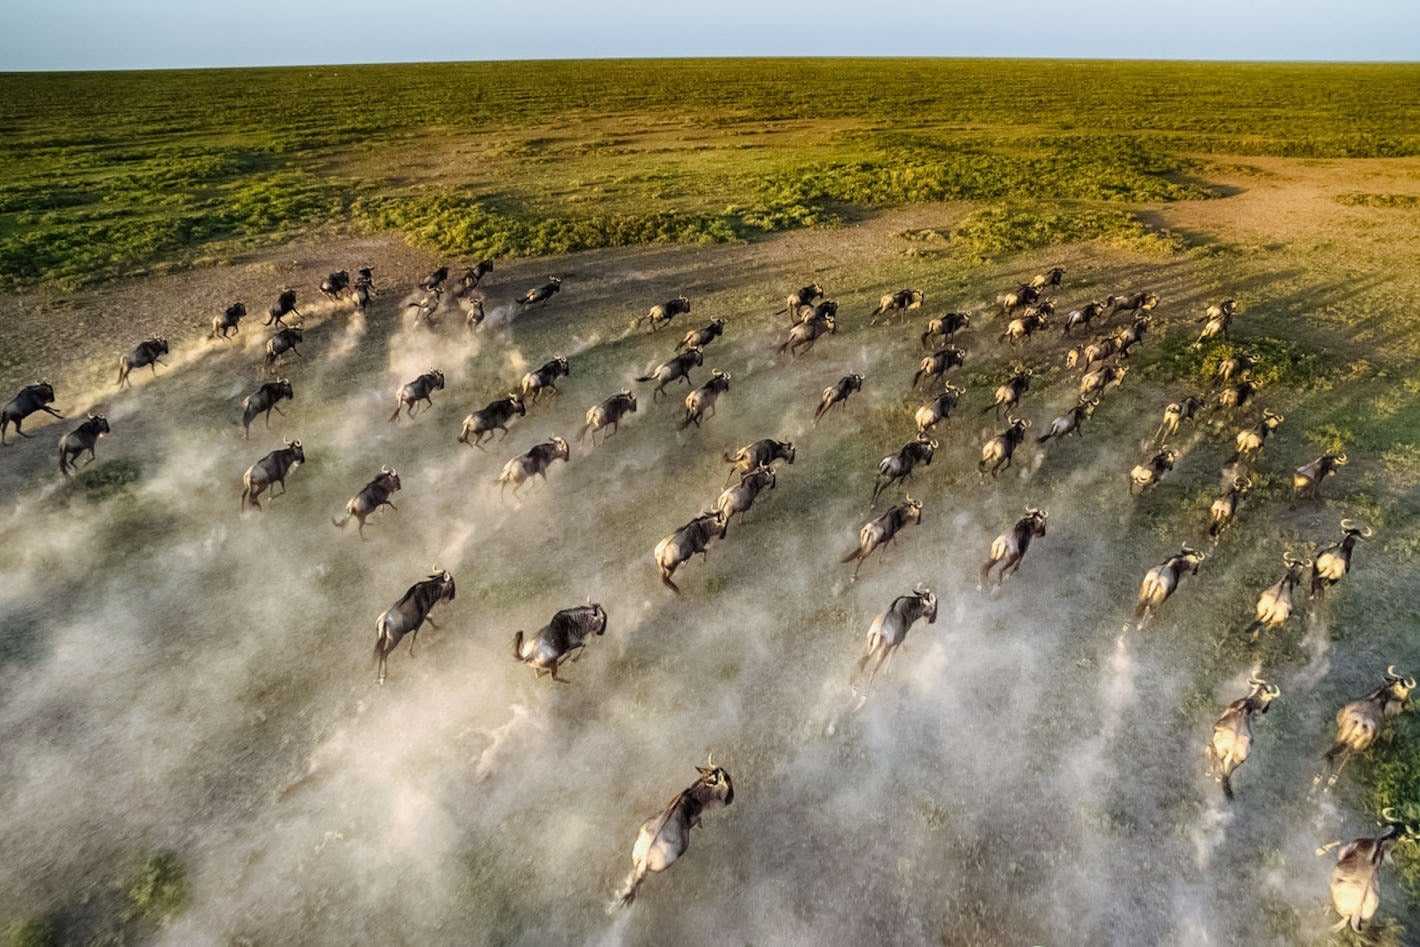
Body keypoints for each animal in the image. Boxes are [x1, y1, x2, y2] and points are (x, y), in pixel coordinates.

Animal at [612, 757, 734, 910]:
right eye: (725, 779)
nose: (731, 799)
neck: (693, 795)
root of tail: (645, 857)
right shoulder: (694, 819)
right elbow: (698, 821)